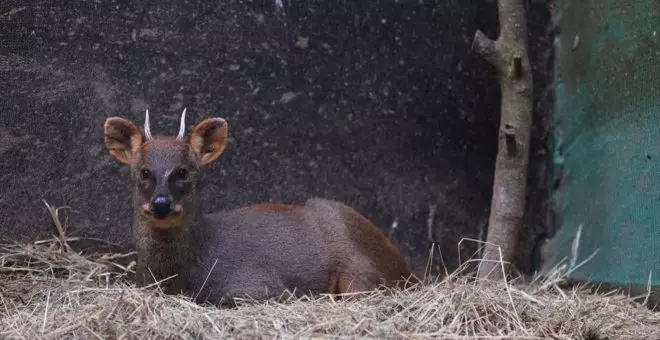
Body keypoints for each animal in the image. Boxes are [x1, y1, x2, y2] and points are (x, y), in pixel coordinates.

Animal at [102, 109, 416, 306]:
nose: (161, 204)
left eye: (183, 172)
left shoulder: (260, 285)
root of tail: (407, 270)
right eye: (144, 172)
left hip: (357, 267)